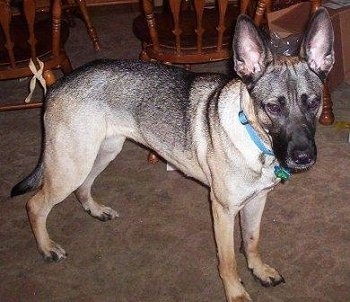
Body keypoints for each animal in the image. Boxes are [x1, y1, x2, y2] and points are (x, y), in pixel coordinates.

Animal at [10, 8, 334, 302]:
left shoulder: (257, 201)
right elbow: (228, 261)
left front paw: (259, 270)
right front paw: (237, 293)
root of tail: (56, 84)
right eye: (273, 107)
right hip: (71, 165)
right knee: (35, 204)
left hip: (101, 152)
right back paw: (47, 247)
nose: (304, 157)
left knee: (83, 187)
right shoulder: (223, 210)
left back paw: (95, 209)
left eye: (314, 102)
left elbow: (252, 242)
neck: (254, 138)